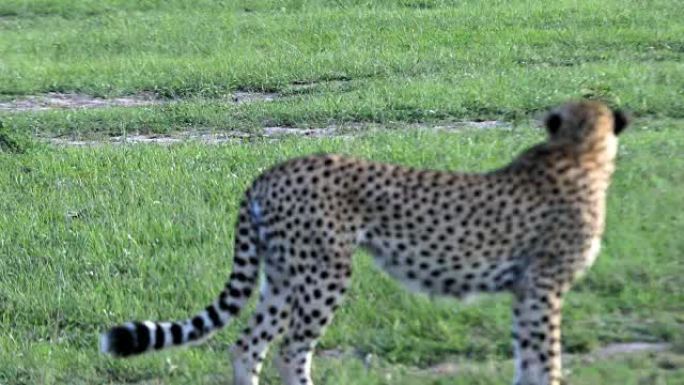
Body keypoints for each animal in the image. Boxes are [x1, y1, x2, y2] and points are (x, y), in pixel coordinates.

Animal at [99, 100, 628, 382]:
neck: (578, 153)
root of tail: (271, 170)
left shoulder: (524, 290)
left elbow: (527, 358)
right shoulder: (543, 288)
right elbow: (546, 358)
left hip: (282, 276)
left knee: (248, 345)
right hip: (324, 273)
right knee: (291, 349)